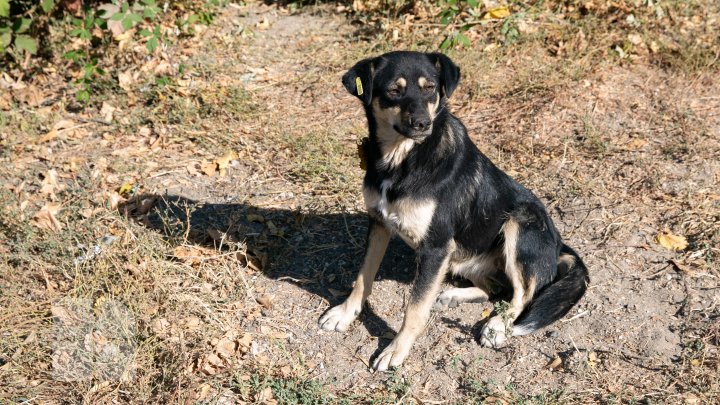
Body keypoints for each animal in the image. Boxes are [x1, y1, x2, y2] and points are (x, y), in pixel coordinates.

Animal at [320, 52, 592, 370]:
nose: (422, 123)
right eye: (394, 91)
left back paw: (497, 326)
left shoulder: (436, 247)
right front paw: (345, 313)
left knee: (524, 295)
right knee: (497, 288)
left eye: (430, 88)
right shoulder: (378, 224)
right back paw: (453, 295)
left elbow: (415, 307)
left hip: (520, 222)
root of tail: (559, 245)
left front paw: (396, 349)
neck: (402, 158)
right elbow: (363, 276)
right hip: (462, 259)